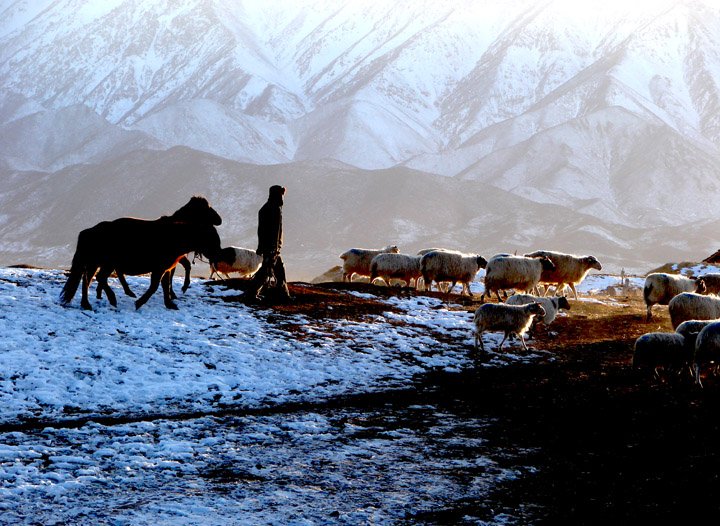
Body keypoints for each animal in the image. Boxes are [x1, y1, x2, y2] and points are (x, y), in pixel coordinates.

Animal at [59, 201, 222, 312]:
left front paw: (170, 303)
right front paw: (140, 303)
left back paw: (87, 304)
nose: (218, 256)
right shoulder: (159, 268)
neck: (172, 237)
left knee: (88, 280)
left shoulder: (167, 268)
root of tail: (89, 231)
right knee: (100, 278)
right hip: (106, 264)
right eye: (211, 238)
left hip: (95, 263)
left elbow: (165, 285)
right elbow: (155, 286)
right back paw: (112, 298)